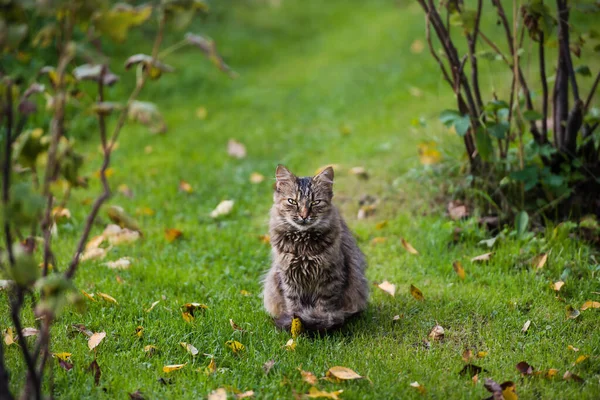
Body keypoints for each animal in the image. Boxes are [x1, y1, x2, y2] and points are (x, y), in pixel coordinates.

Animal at [264, 163, 370, 332]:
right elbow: (294, 306)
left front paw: (318, 324)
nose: (304, 215)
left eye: (315, 202)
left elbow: (324, 308)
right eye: (292, 201)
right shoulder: (288, 278)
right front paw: (296, 326)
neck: (303, 244)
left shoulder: (331, 277)